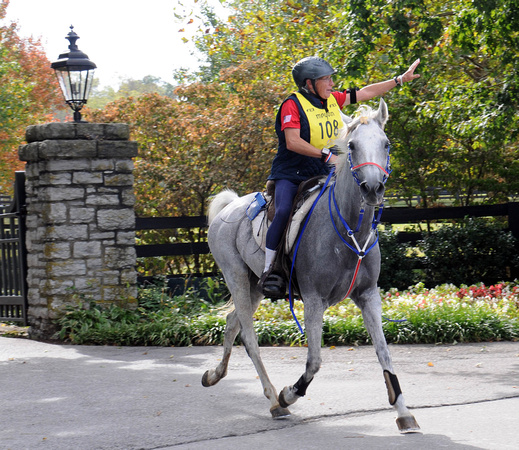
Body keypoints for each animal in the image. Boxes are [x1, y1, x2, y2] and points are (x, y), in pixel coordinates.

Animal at [201, 99, 420, 432]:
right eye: (352, 145)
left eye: (386, 143)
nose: (372, 189)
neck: (349, 230)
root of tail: (232, 205)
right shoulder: (315, 300)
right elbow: (314, 361)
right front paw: (289, 393)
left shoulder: (369, 296)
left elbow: (385, 354)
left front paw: (404, 412)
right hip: (235, 276)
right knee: (249, 337)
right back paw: (275, 401)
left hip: (254, 286)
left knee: (231, 323)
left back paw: (215, 375)